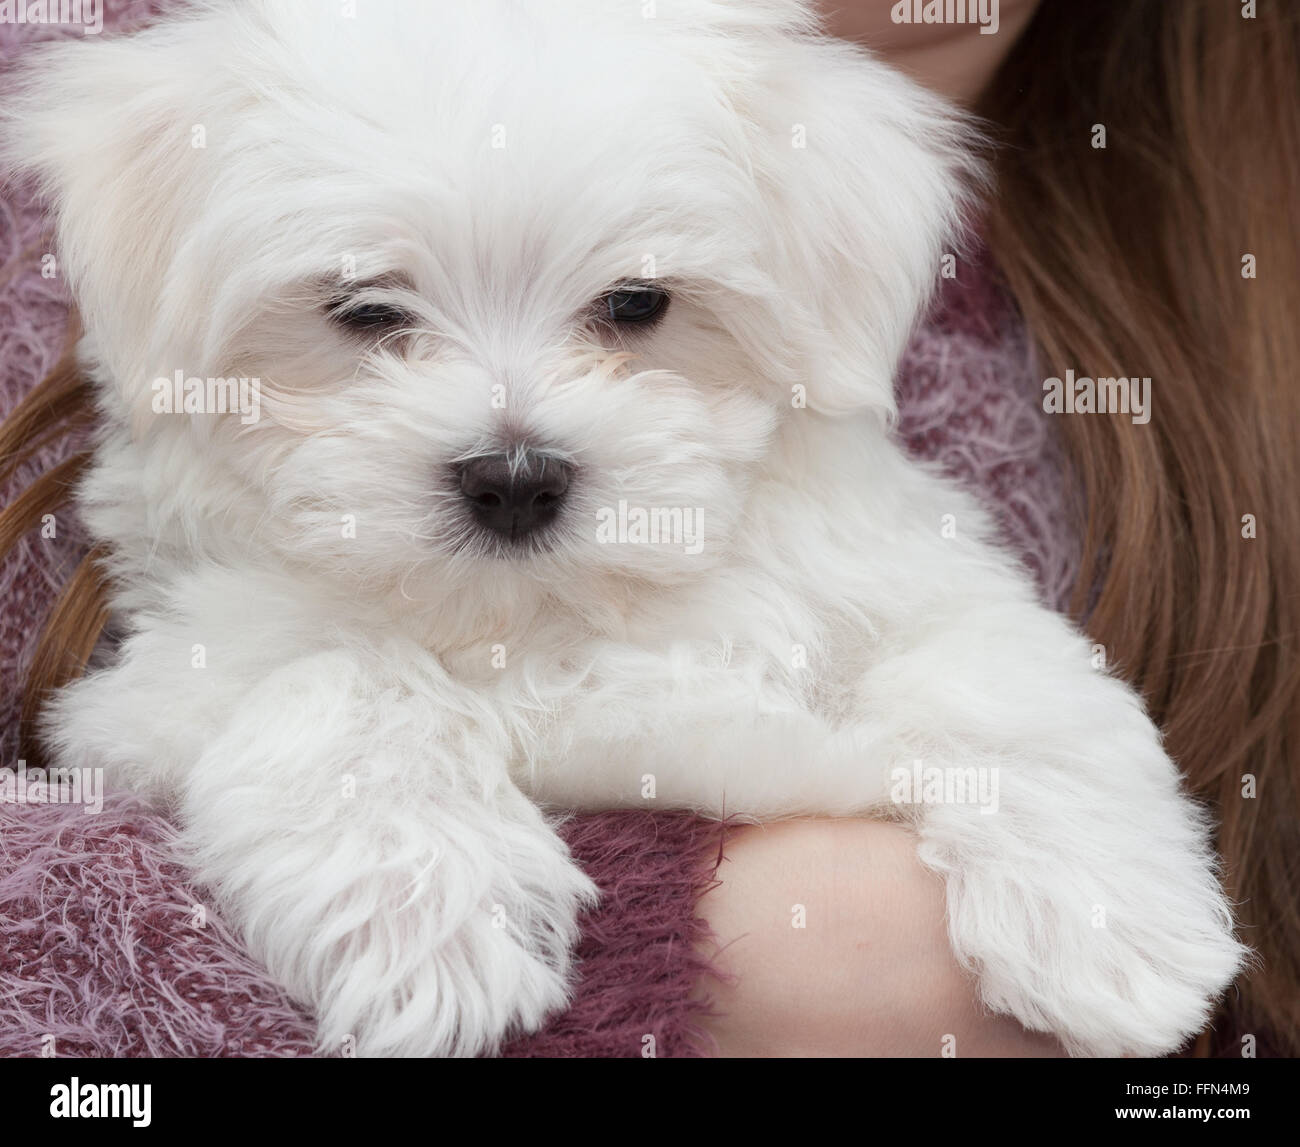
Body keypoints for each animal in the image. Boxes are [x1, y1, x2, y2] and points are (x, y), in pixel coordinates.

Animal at [2, 0, 1248, 1055]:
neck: (550, 609)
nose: (512, 478)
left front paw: (1112, 923)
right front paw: (436, 914)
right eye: (363, 310)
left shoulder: (901, 576)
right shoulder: (165, 684)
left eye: (637, 304)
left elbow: (1006, 682)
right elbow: (342, 681)